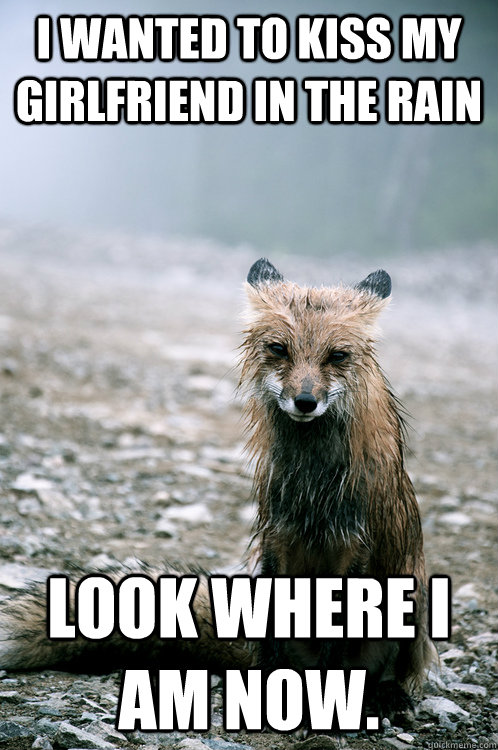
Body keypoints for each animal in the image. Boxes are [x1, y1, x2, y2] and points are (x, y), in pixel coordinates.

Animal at [0, 258, 434, 722]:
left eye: (337, 356)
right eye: (279, 349)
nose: (305, 401)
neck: (314, 489)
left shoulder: (358, 548)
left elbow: (342, 648)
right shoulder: (277, 536)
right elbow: (273, 643)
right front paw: (269, 691)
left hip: (411, 609)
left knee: (389, 672)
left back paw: (384, 694)